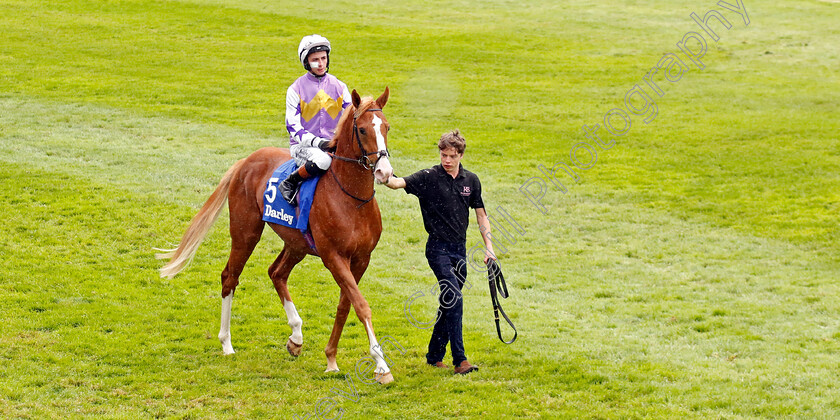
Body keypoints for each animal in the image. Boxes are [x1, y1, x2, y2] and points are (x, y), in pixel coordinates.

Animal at [157, 88, 398, 384]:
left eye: (386, 127)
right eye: (362, 129)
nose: (384, 171)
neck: (352, 200)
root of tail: (245, 161)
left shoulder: (362, 258)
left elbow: (346, 305)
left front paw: (331, 357)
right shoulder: (333, 256)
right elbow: (361, 305)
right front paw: (381, 365)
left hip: (296, 243)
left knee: (276, 272)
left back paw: (296, 336)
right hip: (246, 232)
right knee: (230, 277)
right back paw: (227, 343)